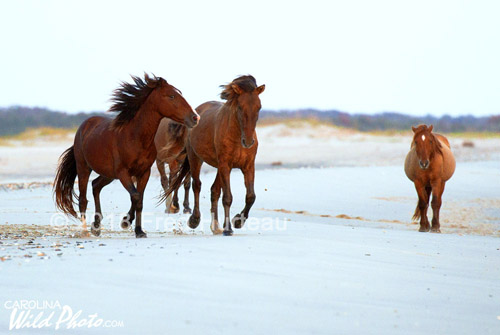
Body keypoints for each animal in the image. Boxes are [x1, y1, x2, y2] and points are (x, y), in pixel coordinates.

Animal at [54, 75, 199, 240]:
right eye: (172, 96)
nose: (195, 118)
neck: (135, 137)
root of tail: (83, 127)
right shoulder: (123, 173)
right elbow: (135, 196)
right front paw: (126, 222)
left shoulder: (144, 173)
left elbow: (139, 200)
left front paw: (138, 230)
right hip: (84, 168)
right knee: (83, 200)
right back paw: (86, 231)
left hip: (109, 174)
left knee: (96, 186)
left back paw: (96, 226)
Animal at [165, 75, 266, 236]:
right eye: (240, 107)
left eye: (259, 107)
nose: (249, 142)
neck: (236, 135)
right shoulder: (225, 165)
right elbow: (227, 197)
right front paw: (228, 228)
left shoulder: (248, 166)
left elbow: (250, 196)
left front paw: (237, 221)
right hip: (196, 159)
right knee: (197, 186)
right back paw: (194, 219)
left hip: (219, 167)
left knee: (214, 191)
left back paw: (215, 226)